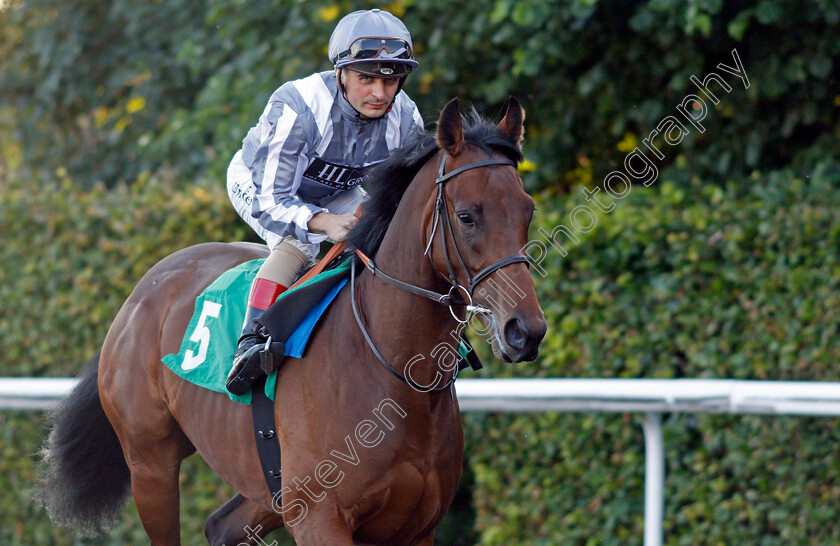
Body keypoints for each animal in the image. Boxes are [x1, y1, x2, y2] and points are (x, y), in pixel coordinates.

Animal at [37, 95, 552, 540]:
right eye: (467, 216)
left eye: (527, 210)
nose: (524, 330)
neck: (393, 371)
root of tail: (141, 291)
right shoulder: (320, 520)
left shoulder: (414, 527)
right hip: (150, 463)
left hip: (265, 484)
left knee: (221, 527)